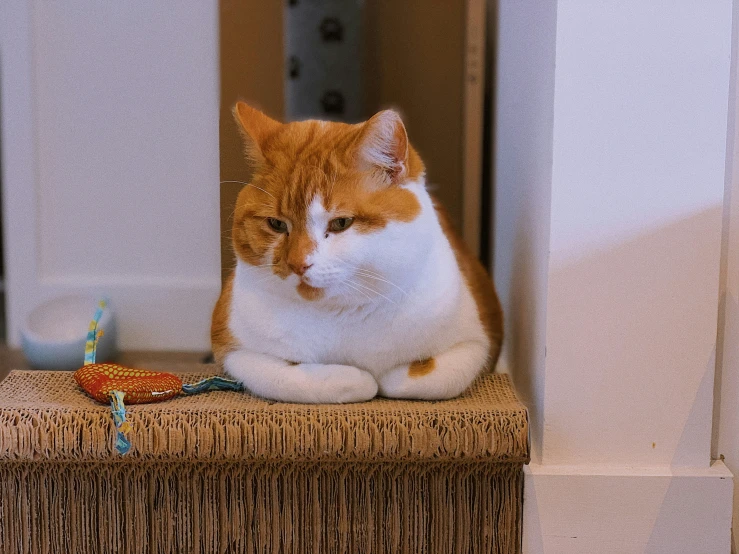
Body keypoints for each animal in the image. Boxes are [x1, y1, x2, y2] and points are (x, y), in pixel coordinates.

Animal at [211, 102, 506, 402]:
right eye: (277, 224)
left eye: (341, 223)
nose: (297, 264)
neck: (344, 311)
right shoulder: (233, 349)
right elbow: (293, 379)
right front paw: (357, 378)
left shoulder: (475, 342)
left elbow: (426, 379)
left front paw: (389, 376)